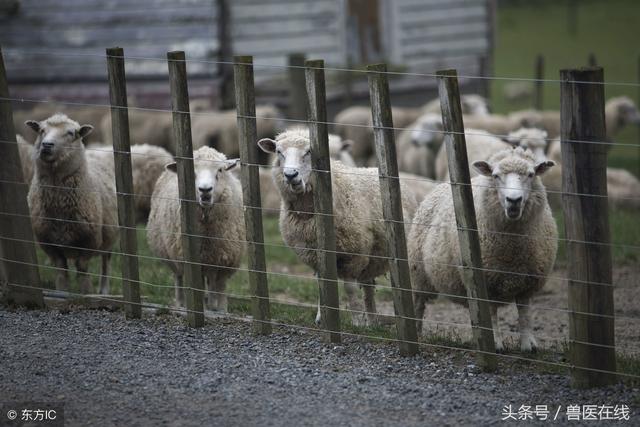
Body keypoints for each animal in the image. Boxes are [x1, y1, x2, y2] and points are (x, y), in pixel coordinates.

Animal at [24, 113, 119, 294]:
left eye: (70, 133)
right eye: (41, 130)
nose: (46, 145)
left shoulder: (89, 241)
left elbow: (82, 271)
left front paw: (86, 293)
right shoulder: (49, 245)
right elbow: (61, 273)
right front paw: (62, 293)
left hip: (110, 236)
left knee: (106, 263)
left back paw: (103, 291)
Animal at [146, 147, 244, 310]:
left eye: (220, 170)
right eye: (192, 172)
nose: (205, 190)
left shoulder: (225, 258)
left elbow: (220, 286)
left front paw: (220, 308)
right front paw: (202, 306)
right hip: (173, 254)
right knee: (179, 277)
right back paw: (181, 304)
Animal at [258, 127, 418, 328]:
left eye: (309, 151)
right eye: (279, 152)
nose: (290, 175)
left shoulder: (353, 254)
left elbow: (350, 288)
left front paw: (357, 321)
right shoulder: (315, 255)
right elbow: (322, 284)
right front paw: (323, 317)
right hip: (372, 255)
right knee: (368, 286)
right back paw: (372, 320)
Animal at [408, 147, 556, 352]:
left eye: (531, 174)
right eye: (495, 176)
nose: (514, 200)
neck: (513, 249)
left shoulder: (528, 282)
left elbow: (524, 314)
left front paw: (528, 345)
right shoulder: (487, 281)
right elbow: (492, 315)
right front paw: (495, 344)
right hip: (419, 273)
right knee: (418, 304)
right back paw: (417, 334)